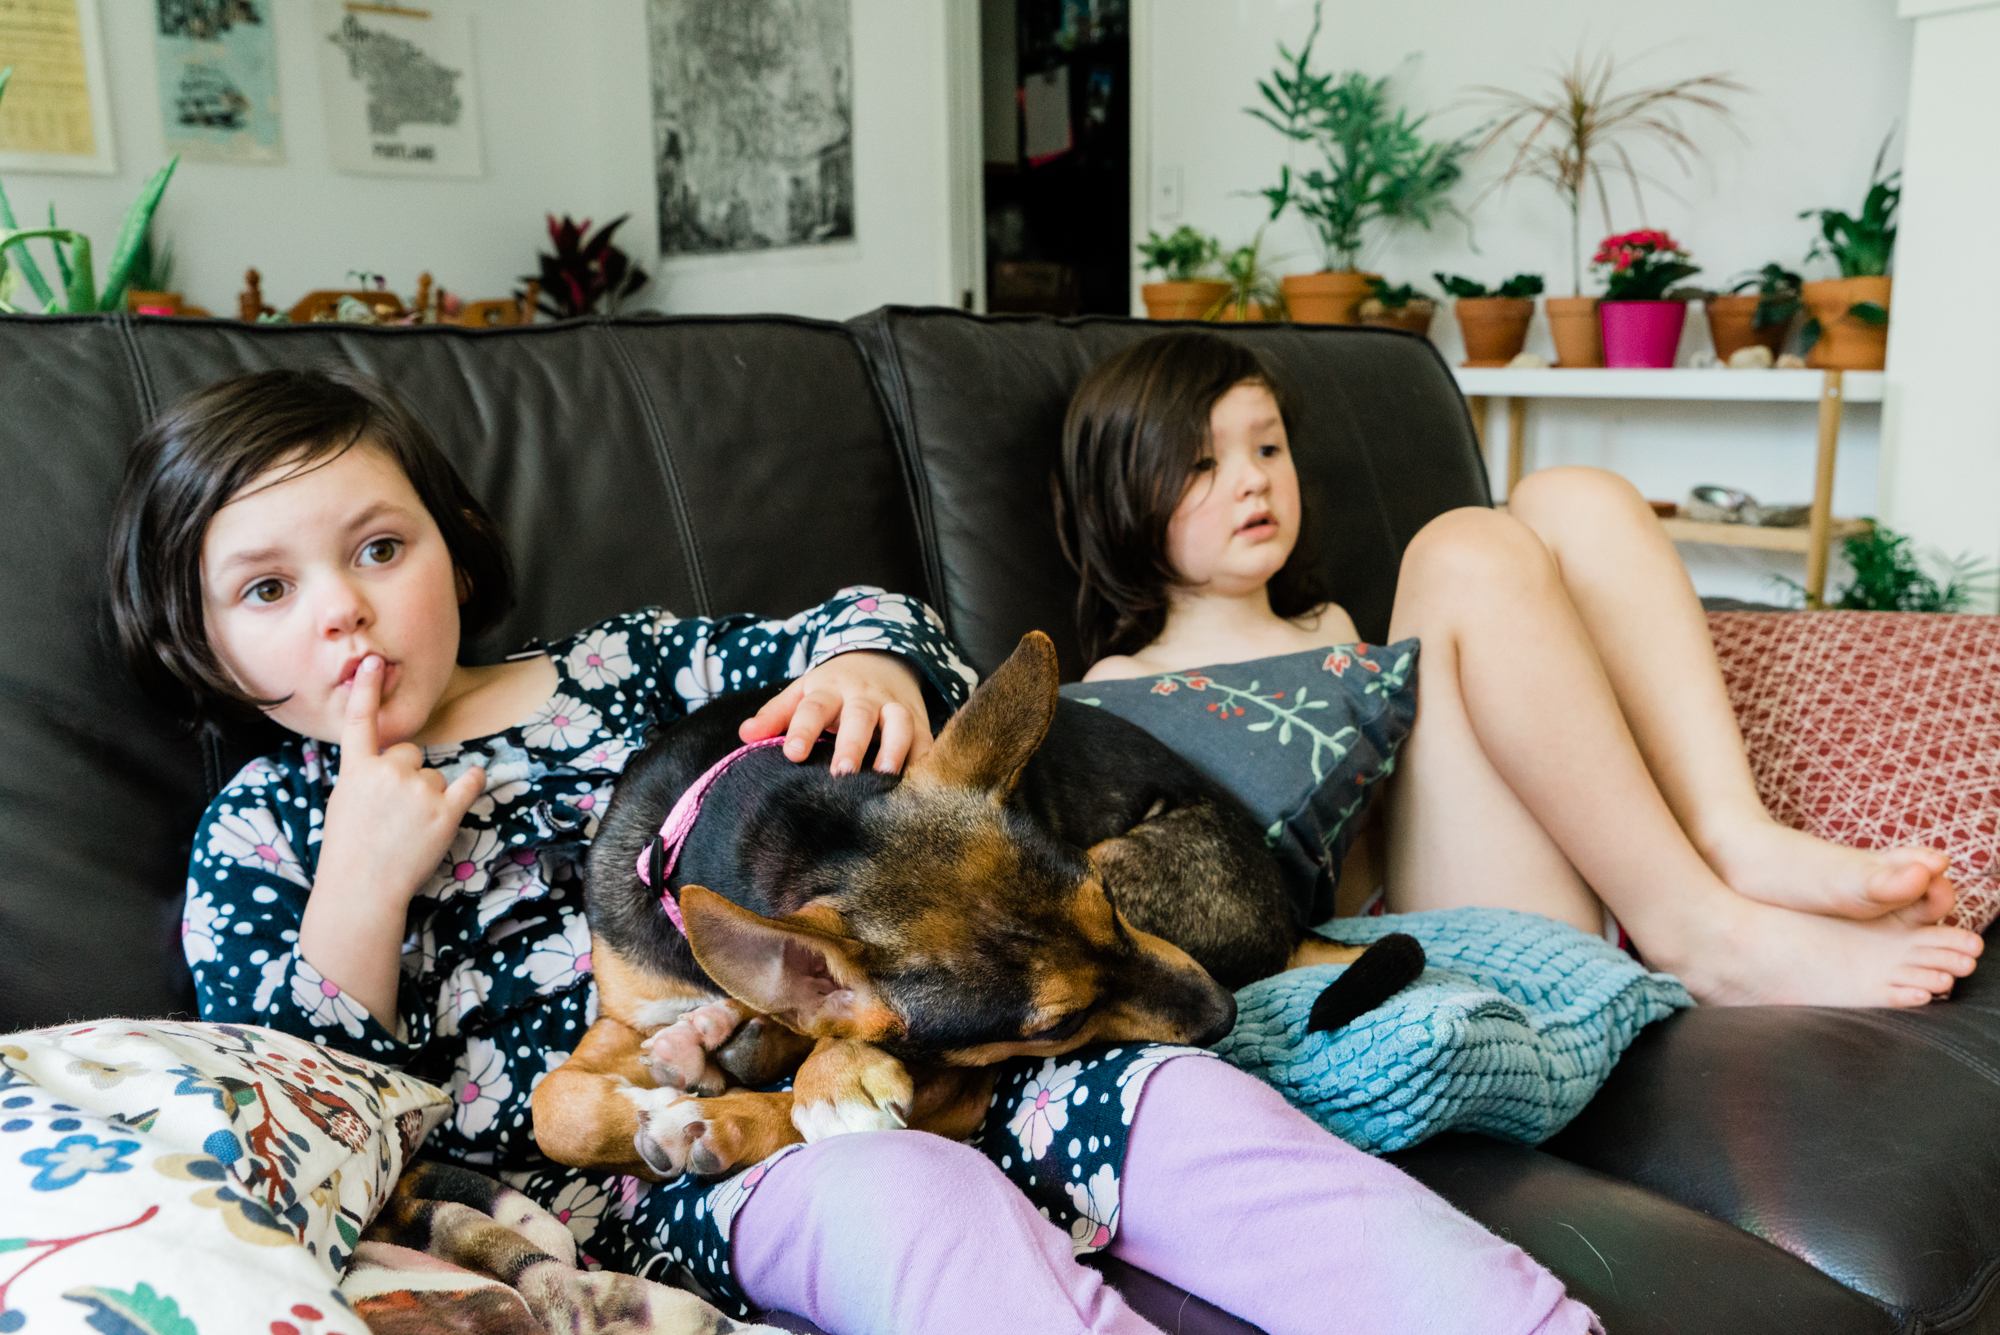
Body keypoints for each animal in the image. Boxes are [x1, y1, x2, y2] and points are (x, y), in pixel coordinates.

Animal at [524, 627, 1416, 1175]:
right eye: (1057, 1024)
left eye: (1109, 907)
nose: (1224, 1014)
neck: (782, 825)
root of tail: (1289, 912)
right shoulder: (627, 1010)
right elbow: (551, 1104)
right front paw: (662, 1085)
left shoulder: (959, 1081)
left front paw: (768, 1090)